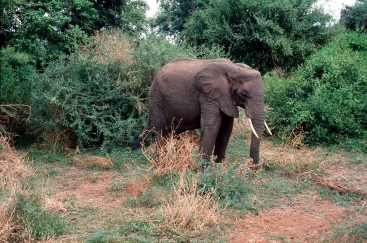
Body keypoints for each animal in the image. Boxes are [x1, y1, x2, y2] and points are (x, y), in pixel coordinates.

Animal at [134, 57, 272, 167]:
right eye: (244, 94)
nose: (253, 169)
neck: (235, 69)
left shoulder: (225, 99)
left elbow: (226, 129)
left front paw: (219, 170)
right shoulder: (208, 96)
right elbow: (212, 126)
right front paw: (203, 172)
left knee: (177, 133)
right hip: (156, 100)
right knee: (160, 131)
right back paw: (161, 166)